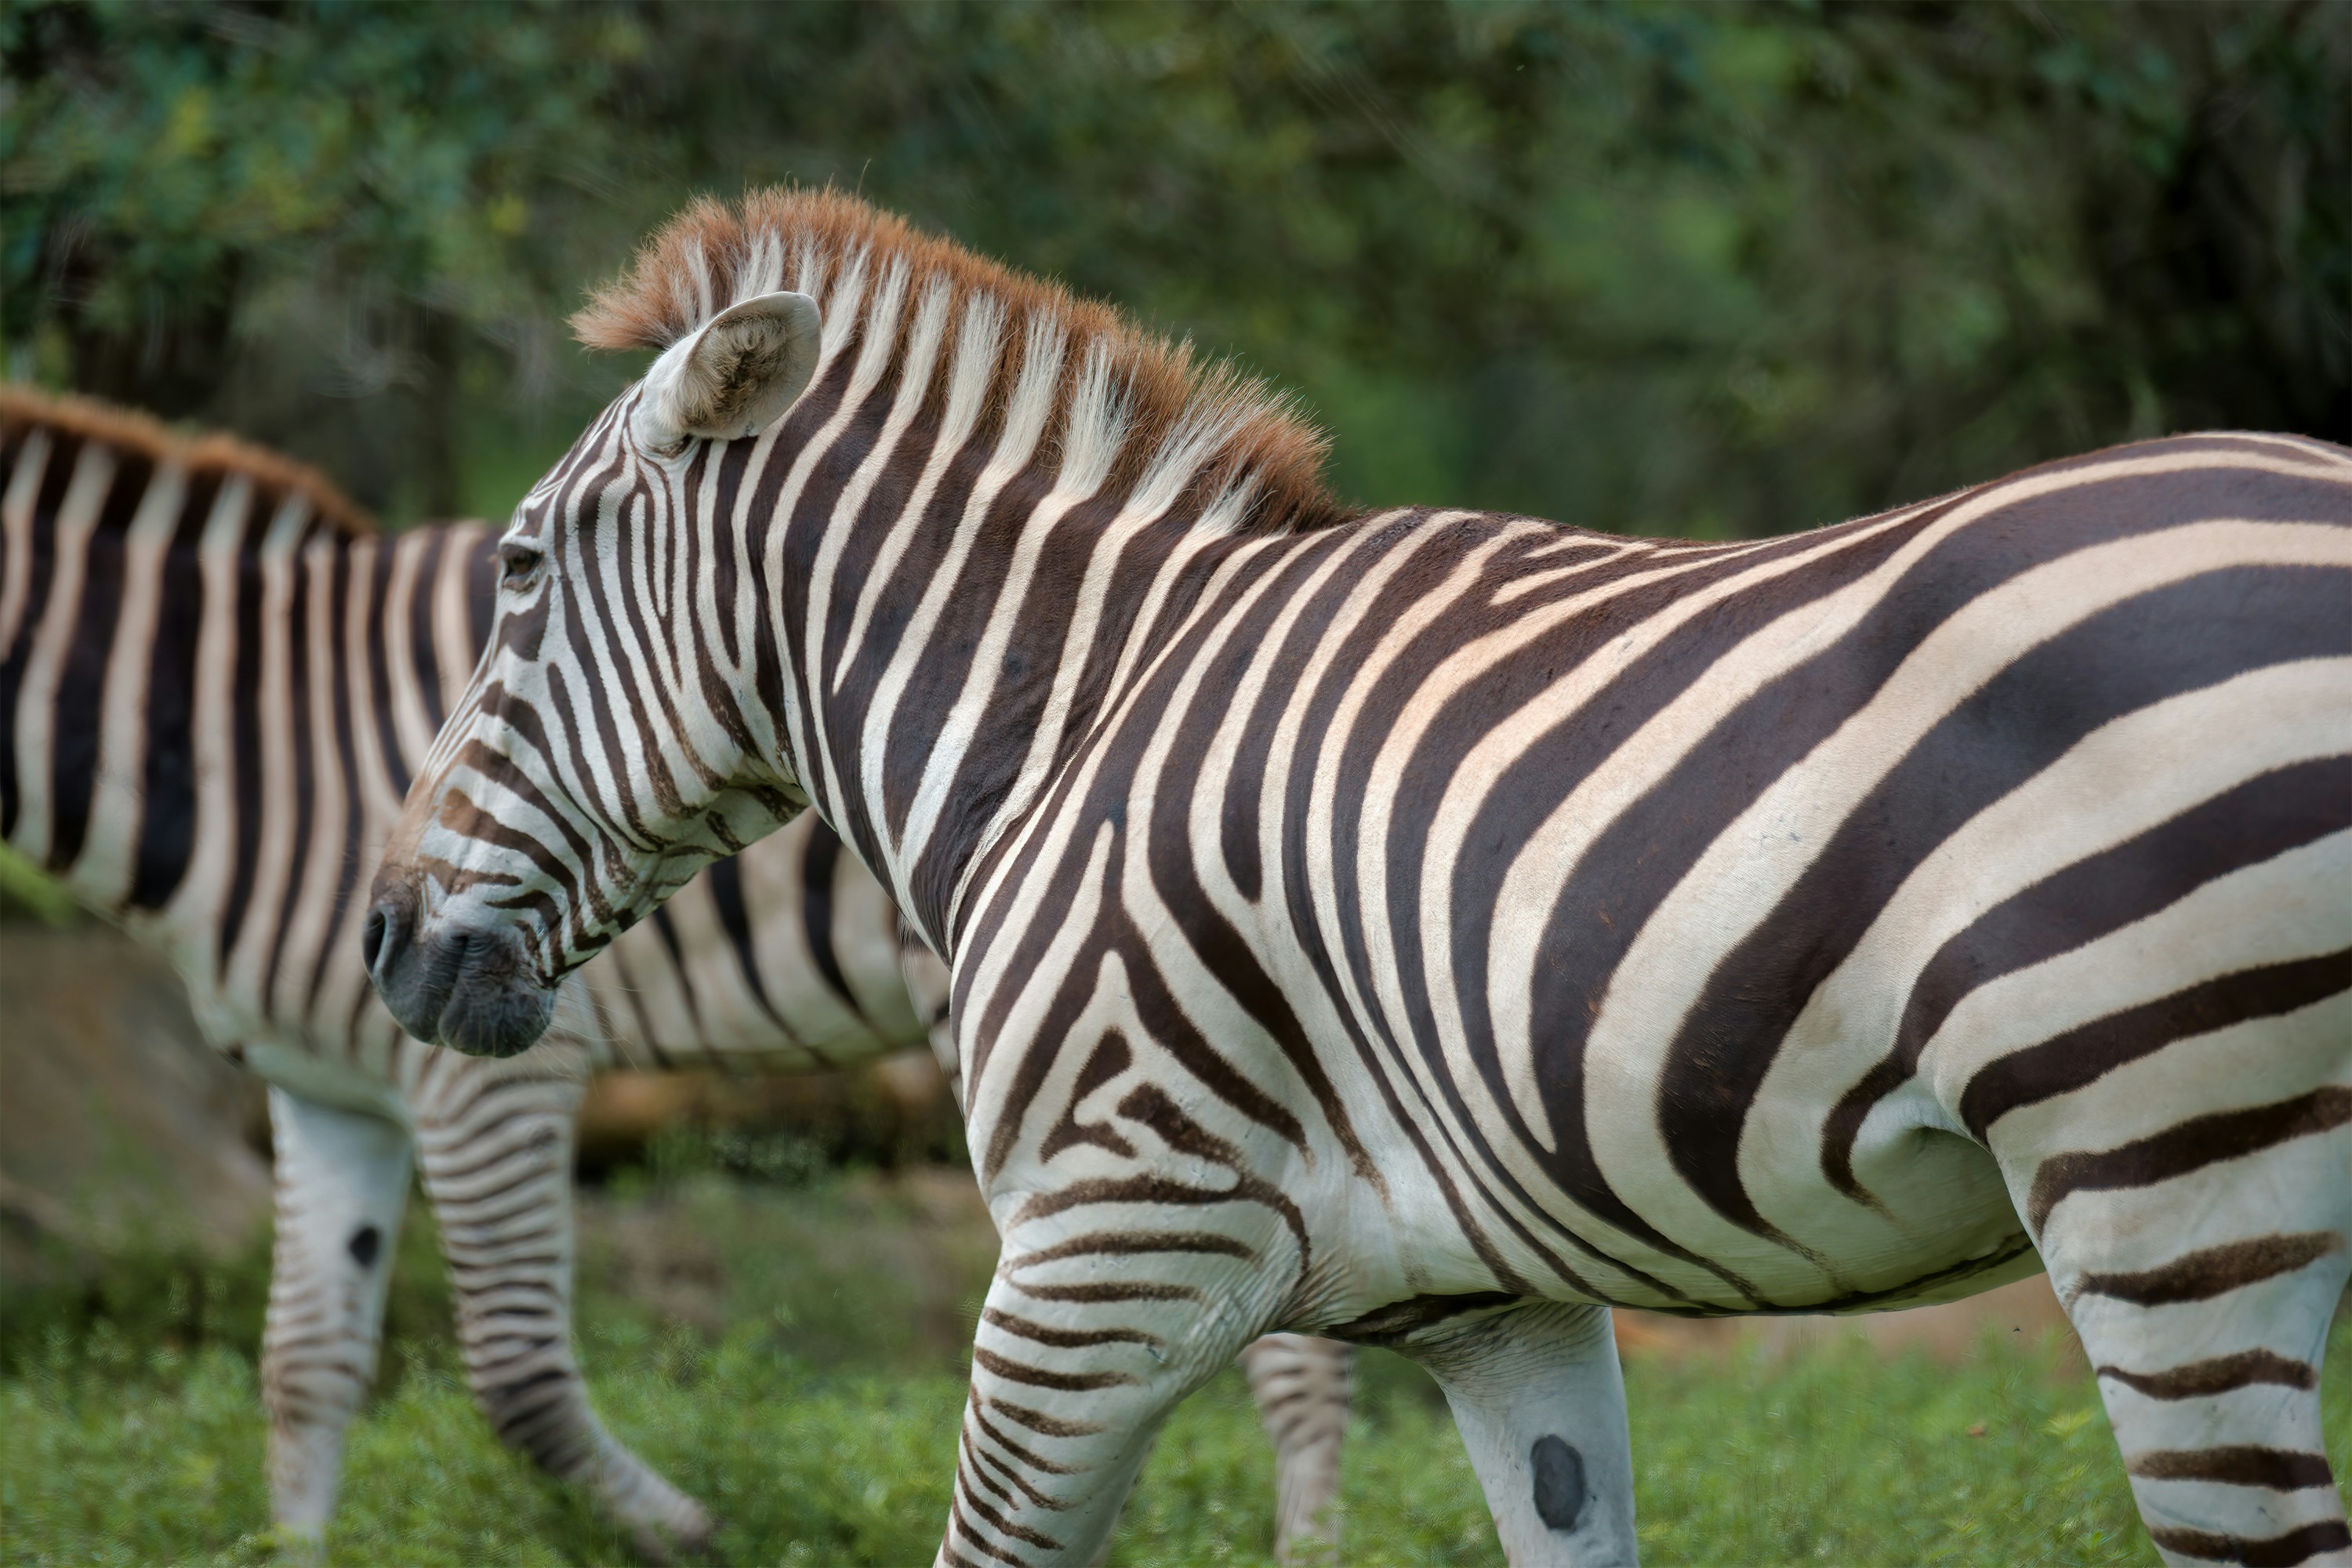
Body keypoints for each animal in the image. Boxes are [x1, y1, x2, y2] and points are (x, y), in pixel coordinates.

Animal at [0, 385, 1355, 1564]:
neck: (249, 737)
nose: (379, 937)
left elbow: (517, 1377)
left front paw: (697, 1532)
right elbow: (304, 1371)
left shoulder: (491, 1076)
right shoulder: (325, 1087)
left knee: (1293, 1351)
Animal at [362, 189, 2352, 1568]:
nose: (382, 938)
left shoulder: (1098, 1241)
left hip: (2164, 1173)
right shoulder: (1502, 1309)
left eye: (518, 572)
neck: (1075, 718)